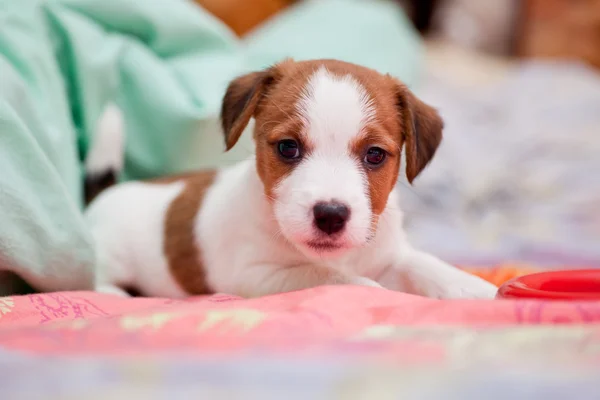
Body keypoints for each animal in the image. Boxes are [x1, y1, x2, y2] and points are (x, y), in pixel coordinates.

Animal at [84, 57, 496, 298]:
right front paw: (374, 292)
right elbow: (332, 278)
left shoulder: (392, 255)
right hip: (108, 257)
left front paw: (482, 291)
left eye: (375, 155)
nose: (331, 214)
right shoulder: (256, 277)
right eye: (287, 148)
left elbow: (431, 268)